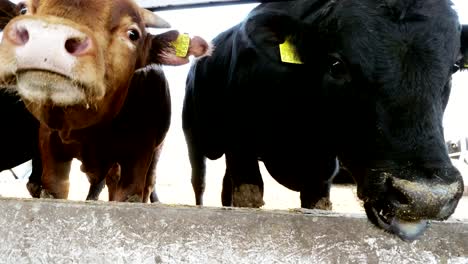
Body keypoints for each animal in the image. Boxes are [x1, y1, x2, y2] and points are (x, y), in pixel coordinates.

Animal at [0, 0, 210, 202]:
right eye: (23, 10)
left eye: (133, 34)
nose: (48, 39)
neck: (90, 131)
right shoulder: (50, 145)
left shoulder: (139, 154)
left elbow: (129, 195)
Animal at [184, 0, 468, 240]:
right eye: (336, 65)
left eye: (454, 67)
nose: (425, 197)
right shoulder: (240, 151)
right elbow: (248, 200)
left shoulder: (321, 174)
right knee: (200, 184)